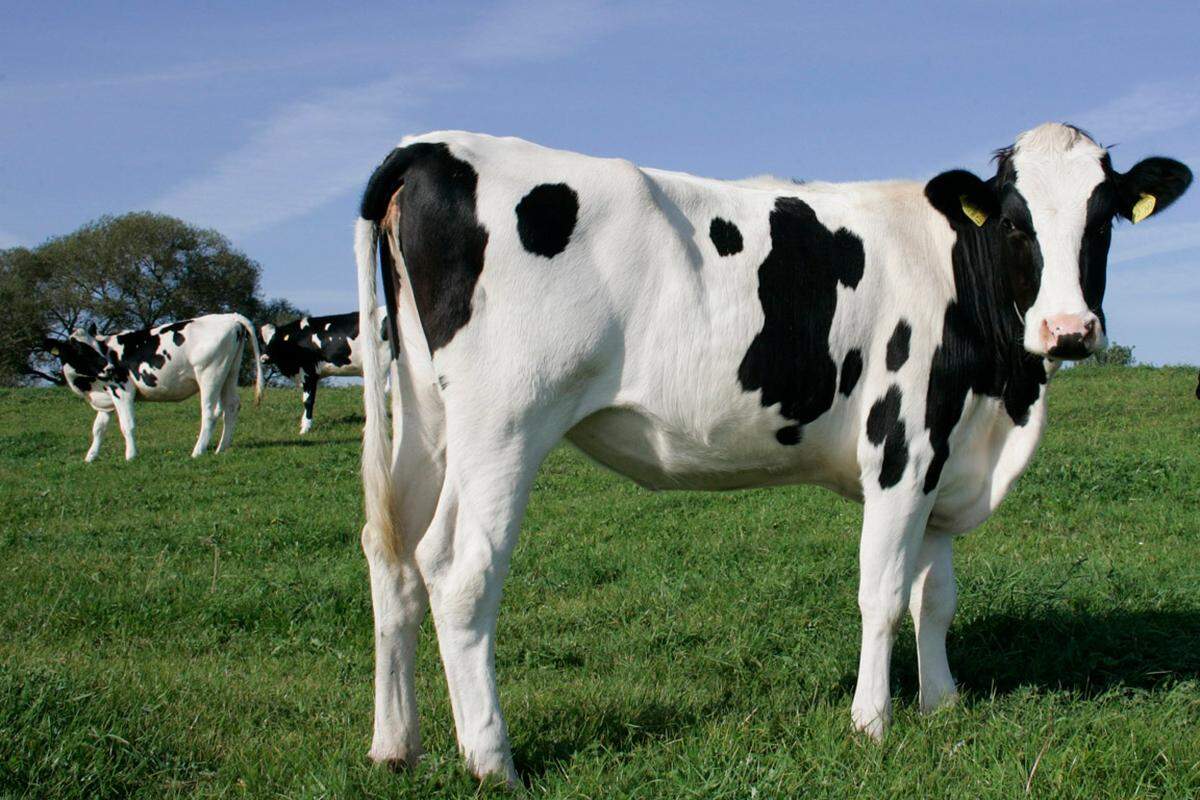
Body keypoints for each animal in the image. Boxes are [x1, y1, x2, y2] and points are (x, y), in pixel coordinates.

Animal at [48, 314, 262, 460]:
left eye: (94, 347)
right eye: (80, 350)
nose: (109, 368)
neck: (89, 386)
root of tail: (229, 317)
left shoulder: (122, 390)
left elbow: (127, 425)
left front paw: (131, 456)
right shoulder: (106, 398)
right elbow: (98, 428)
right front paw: (91, 457)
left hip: (210, 373)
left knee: (210, 412)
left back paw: (198, 451)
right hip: (229, 373)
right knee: (231, 406)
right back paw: (221, 448)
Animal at [348, 125, 1190, 782]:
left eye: (1104, 220)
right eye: (1017, 223)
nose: (1069, 330)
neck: (1000, 394)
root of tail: (431, 145)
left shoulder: (945, 460)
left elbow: (937, 596)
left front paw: (943, 702)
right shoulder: (902, 446)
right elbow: (883, 594)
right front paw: (872, 722)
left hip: (425, 412)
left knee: (393, 557)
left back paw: (395, 746)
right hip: (506, 422)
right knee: (459, 571)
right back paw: (493, 761)